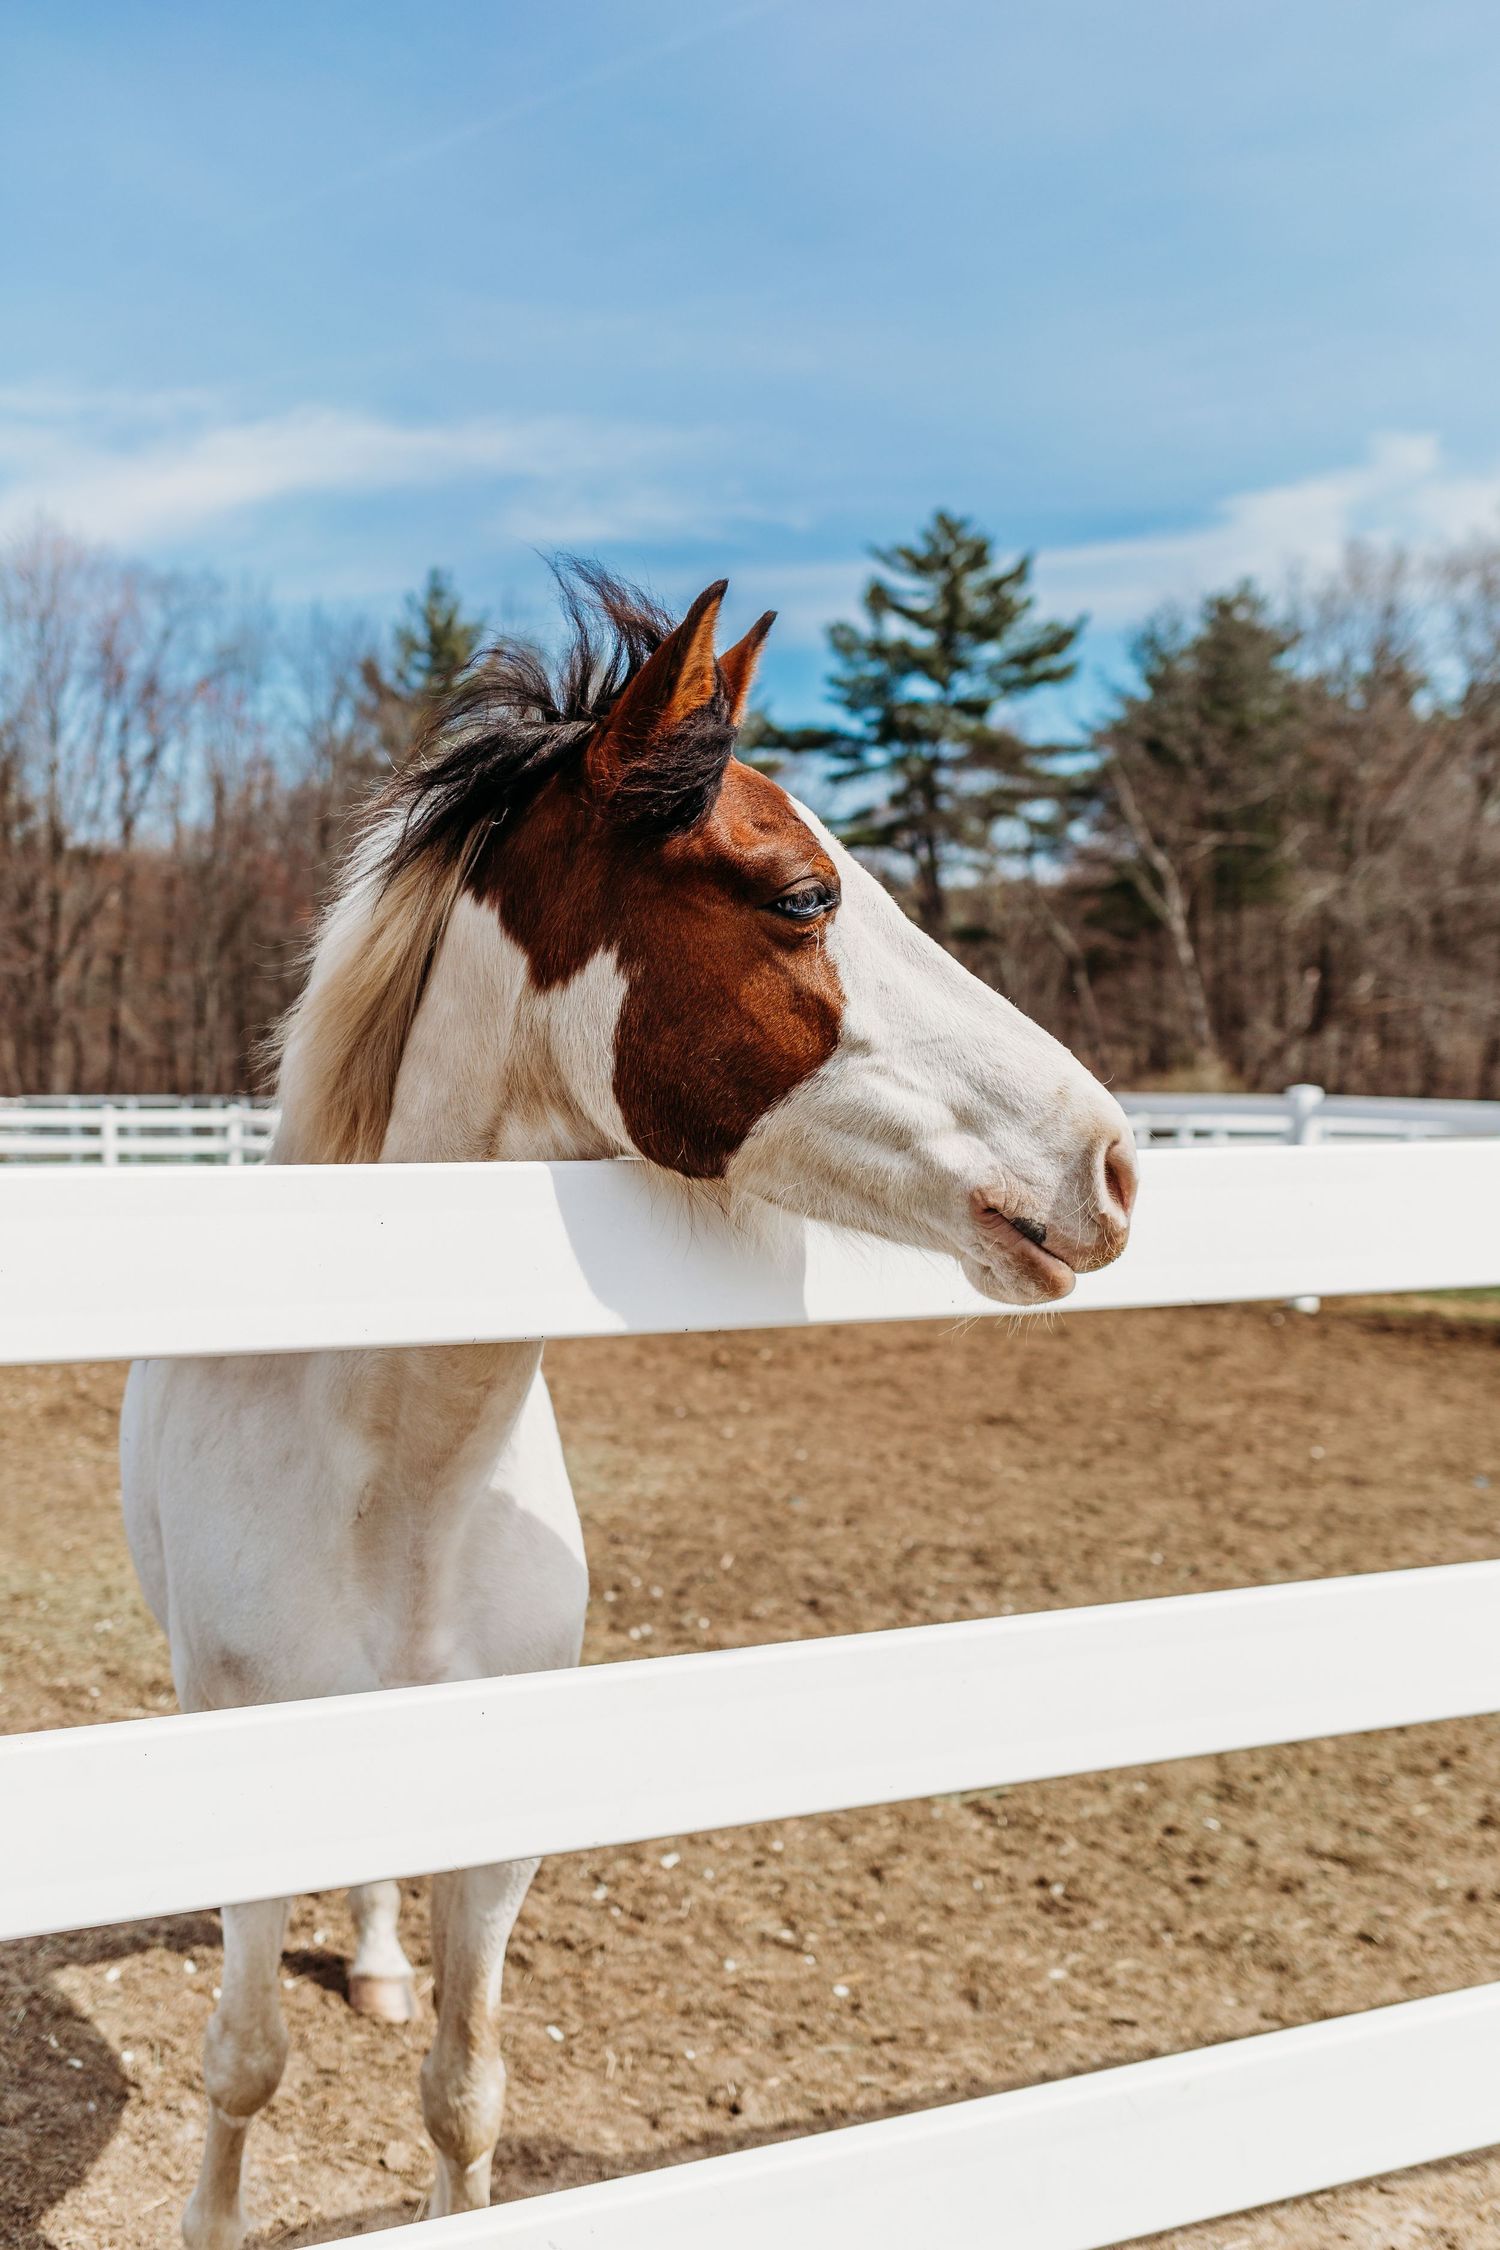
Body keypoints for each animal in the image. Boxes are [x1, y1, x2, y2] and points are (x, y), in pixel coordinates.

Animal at [119, 566, 1137, 2245]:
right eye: (802, 895)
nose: (1110, 1162)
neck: (400, 1485)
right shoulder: (255, 1778)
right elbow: (243, 2063)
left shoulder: (504, 1821)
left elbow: (465, 2091)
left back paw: (381, 1966)